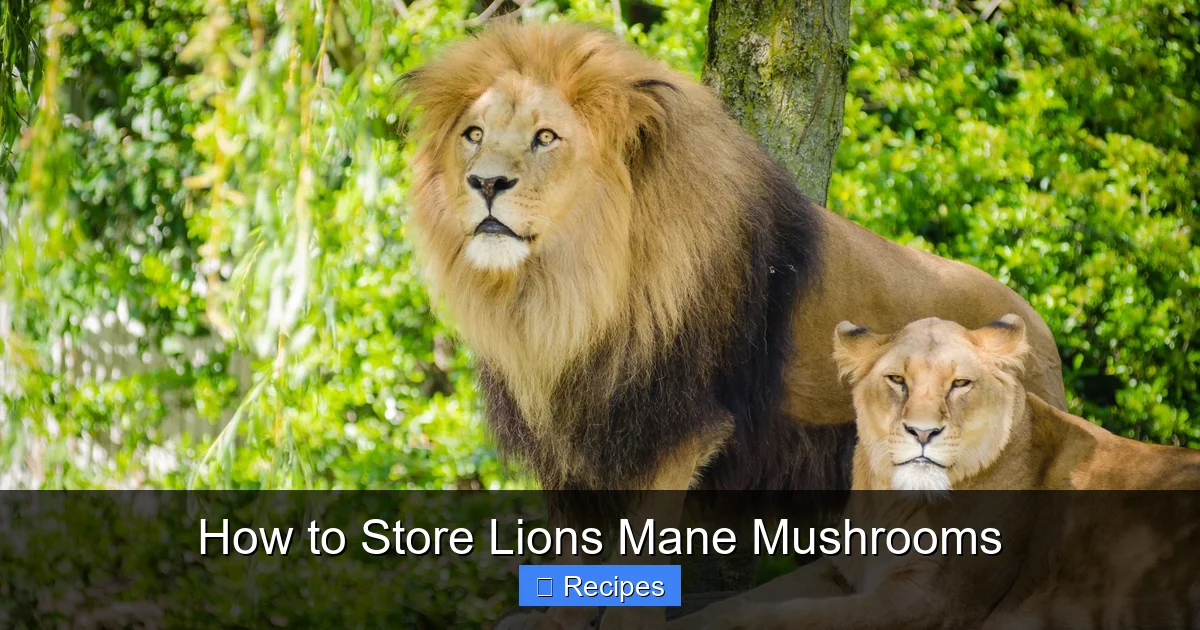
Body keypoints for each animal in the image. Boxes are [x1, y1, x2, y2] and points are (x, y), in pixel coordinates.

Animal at [403, 22, 1065, 628]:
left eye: (545, 137)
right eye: (473, 135)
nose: (485, 182)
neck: (562, 297)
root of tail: (1037, 327)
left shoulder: (675, 426)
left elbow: (642, 544)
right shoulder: (572, 437)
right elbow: (575, 543)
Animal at [666, 316, 1200, 630]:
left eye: (960, 384)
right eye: (897, 380)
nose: (923, 432)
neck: (893, 504)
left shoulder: (930, 602)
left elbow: (793, 617)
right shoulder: (844, 570)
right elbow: (747, 602)